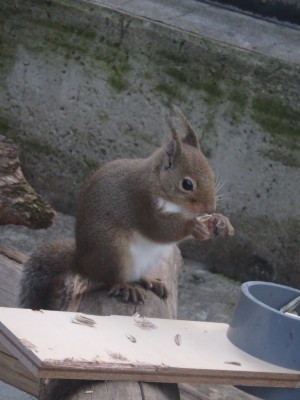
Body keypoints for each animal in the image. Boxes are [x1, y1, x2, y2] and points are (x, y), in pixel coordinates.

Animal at [19, 108, 234, 310]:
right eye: (187, 184)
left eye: (212, 175)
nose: (210, 206)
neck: (158, 184)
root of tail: (82, 262)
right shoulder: (142, 203)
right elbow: (159, 229)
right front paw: (194, 227)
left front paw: (220, 222)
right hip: (114, 248)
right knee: (110, 280)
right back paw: (125, 287)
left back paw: (149, 280)